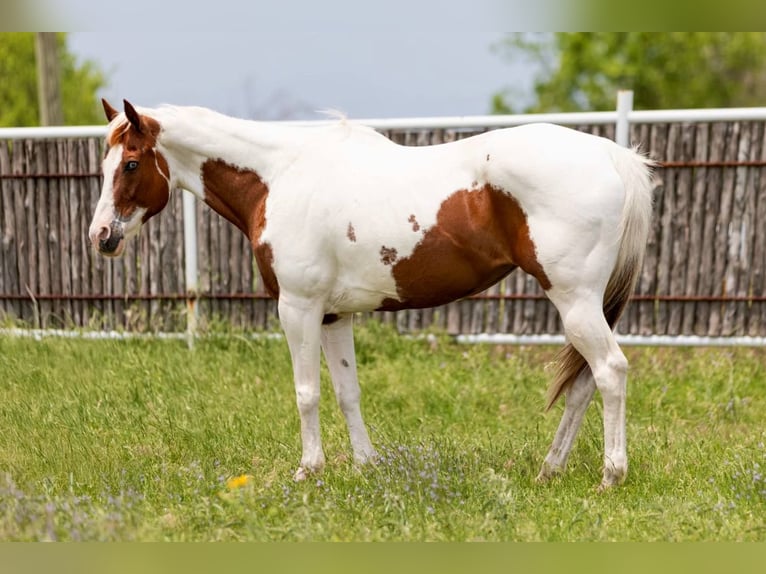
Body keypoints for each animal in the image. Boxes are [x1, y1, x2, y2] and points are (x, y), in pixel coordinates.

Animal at [89, 99, 653, 489]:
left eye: (131, 164)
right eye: (105, 164)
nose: (101, 236)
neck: (279, 176)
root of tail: (611, 156)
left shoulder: (298, 308)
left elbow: (307, 393)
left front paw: (309, 470)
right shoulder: (335, 317)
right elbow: (347, 392)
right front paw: (366, 466)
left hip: (575, 302)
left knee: (610, 372)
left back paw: (611, 475)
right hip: (587, 307)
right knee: (584, 384)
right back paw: (550, 469)